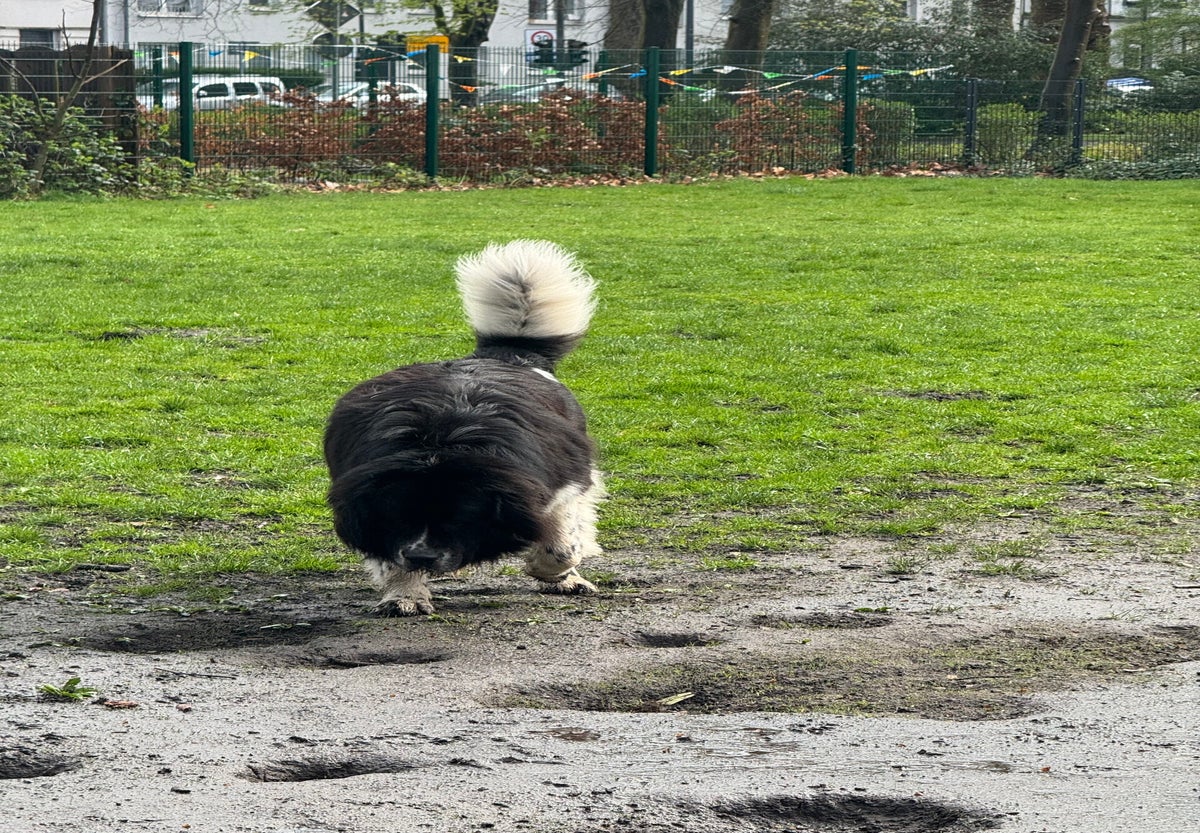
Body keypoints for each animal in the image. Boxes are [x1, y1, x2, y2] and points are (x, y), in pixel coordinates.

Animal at [323, 240, 603, 616]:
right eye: (398, 513)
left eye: (459, 517)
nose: (422, 556)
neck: (439, 444)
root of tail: (508, 356)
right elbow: (389, 554)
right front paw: (404, 596)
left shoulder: (562, 485)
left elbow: (561, 545)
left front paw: (554, 573)